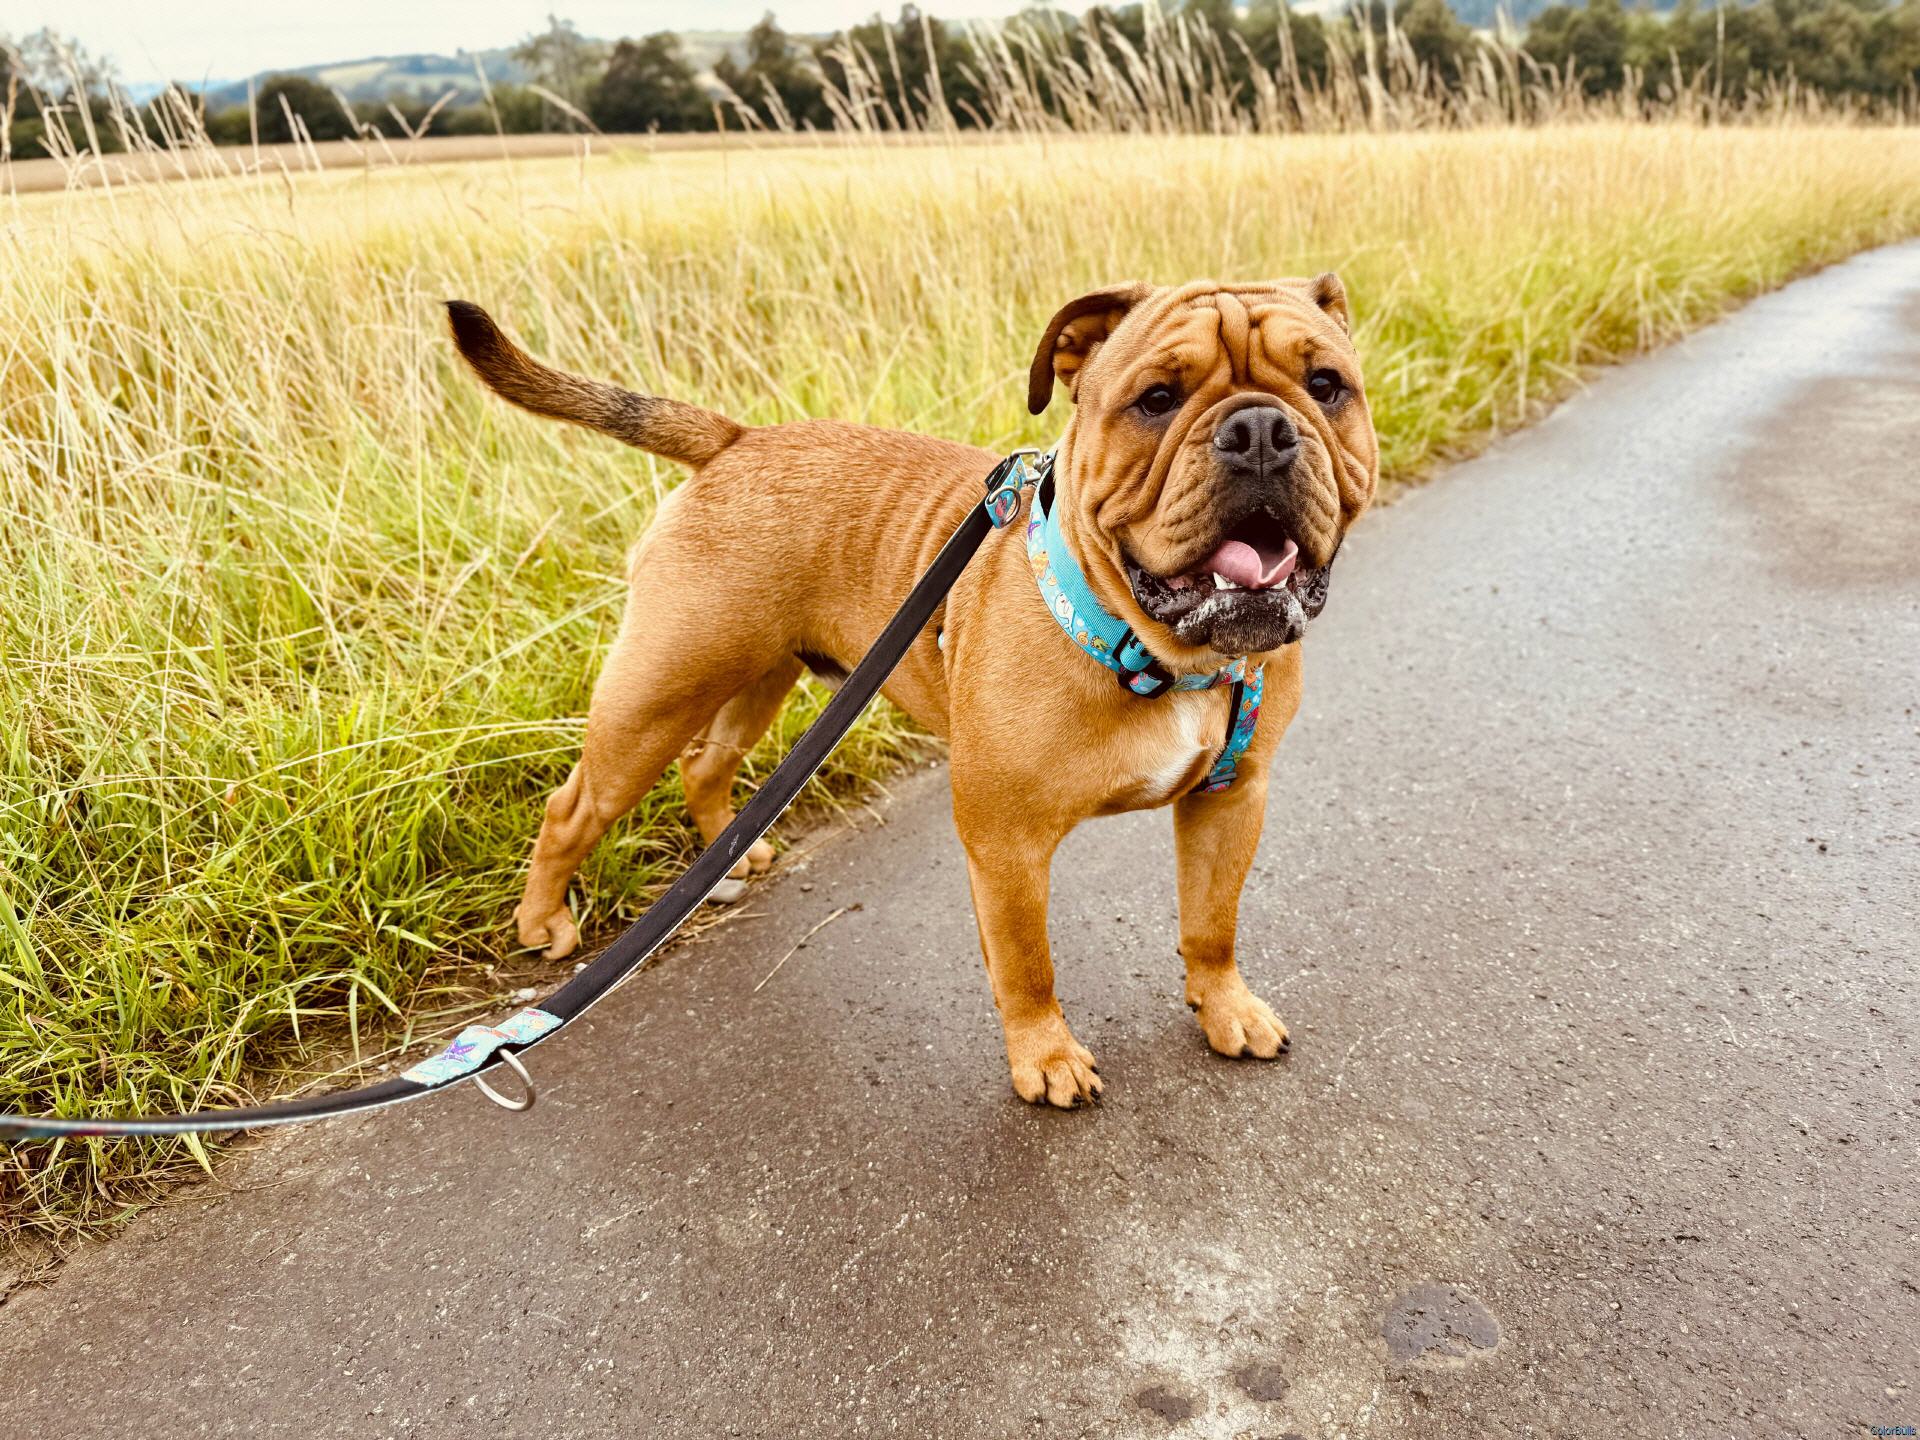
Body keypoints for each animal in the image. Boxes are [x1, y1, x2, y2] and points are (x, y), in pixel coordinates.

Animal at [446, 277, 1377, 1107]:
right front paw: (1046, 1061)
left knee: (708, 765)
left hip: (760, 679)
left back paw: (734, 857)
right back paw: (542, 924)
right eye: (1156, 399)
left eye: (1327, 387)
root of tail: (735, 439)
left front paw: (1225, 1008)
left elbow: (1211, 924)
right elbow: (1028, 966)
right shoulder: (1007, 846)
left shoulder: (1231, 801)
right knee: (574, 807)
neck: (1156, 650)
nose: (1260, 429)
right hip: (658, 695)